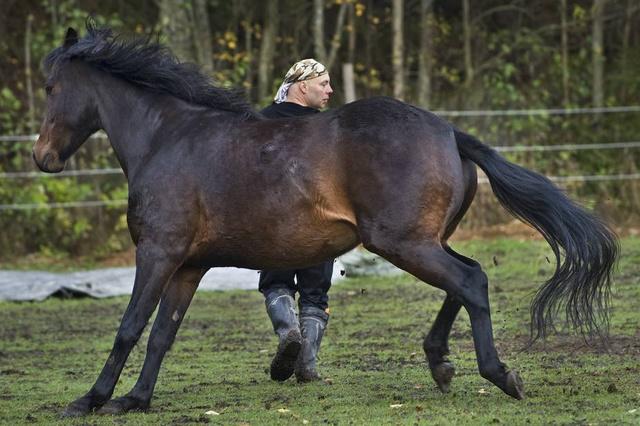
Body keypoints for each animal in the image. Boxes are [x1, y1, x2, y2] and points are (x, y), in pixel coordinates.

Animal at [32, 25, 616, 414]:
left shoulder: (157, 252)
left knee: (470, 280)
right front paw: (135, 400)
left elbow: (130, 327)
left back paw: (498, 376)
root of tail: (450, 132)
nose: (43, 157)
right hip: (424, 241)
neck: (166, 138)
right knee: (469, 278)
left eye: (51, 87)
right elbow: (161, 334)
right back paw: (441, 364)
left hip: (403, 243)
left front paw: (92, 399)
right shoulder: (187, 265)